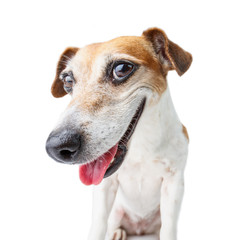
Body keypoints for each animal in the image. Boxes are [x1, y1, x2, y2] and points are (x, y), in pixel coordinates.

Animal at [45, 27, 192, 239]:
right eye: (67, 81)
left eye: (121, 69)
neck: (141, 146)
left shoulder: (174, 183)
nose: (57, 146)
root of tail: (140, 228)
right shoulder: (105, 186)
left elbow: (169, 227)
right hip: (117, 211)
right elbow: (98, 225)